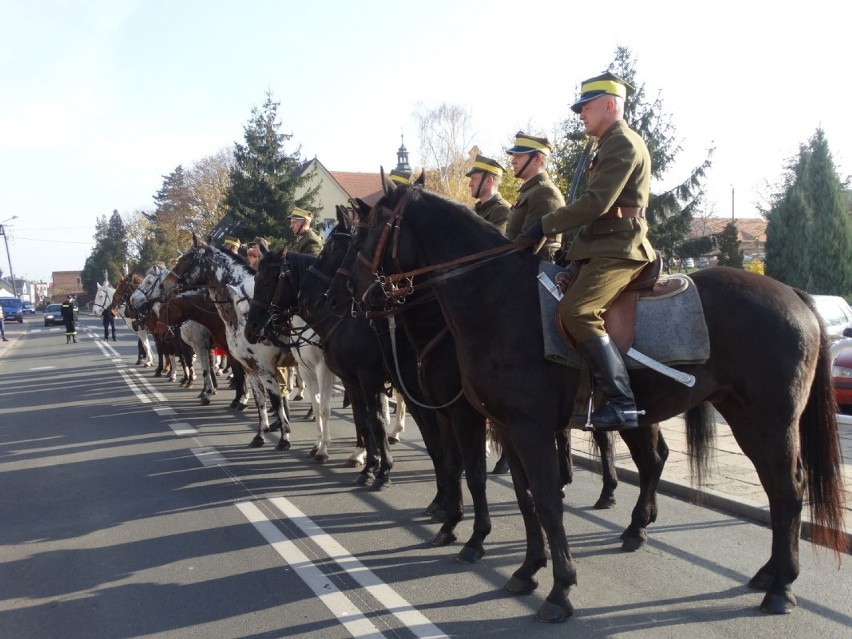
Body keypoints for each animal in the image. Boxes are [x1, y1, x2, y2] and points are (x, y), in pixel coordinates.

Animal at [344, 182, 844, 624]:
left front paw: (558, 589)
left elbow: (545, 499)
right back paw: (758, 571)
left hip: (769, 420)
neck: (497, 298)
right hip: (739, 417)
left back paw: (781, 587)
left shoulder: (523, 428)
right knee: (764, 487)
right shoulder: (506, 427)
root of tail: (794, 294)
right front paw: (527, 570)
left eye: (372, 227)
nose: (359, 297)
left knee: (788, 489)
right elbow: (525, 498)